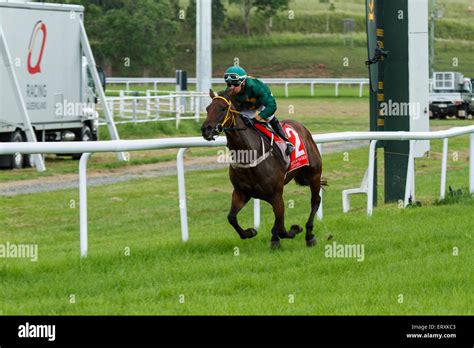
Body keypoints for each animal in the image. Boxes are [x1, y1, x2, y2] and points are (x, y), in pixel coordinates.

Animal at [200, 88, 322, 249]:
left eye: (223, 108)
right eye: (208, 108)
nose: (205, 129)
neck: (249, 155)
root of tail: (301, 126)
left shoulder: (276, 195)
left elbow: (282, 228)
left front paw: (295, 229)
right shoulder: (241, 192)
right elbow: (231, 217)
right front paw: (250, 232)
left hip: (315, 174)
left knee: (315, 200)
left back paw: (309, 235)